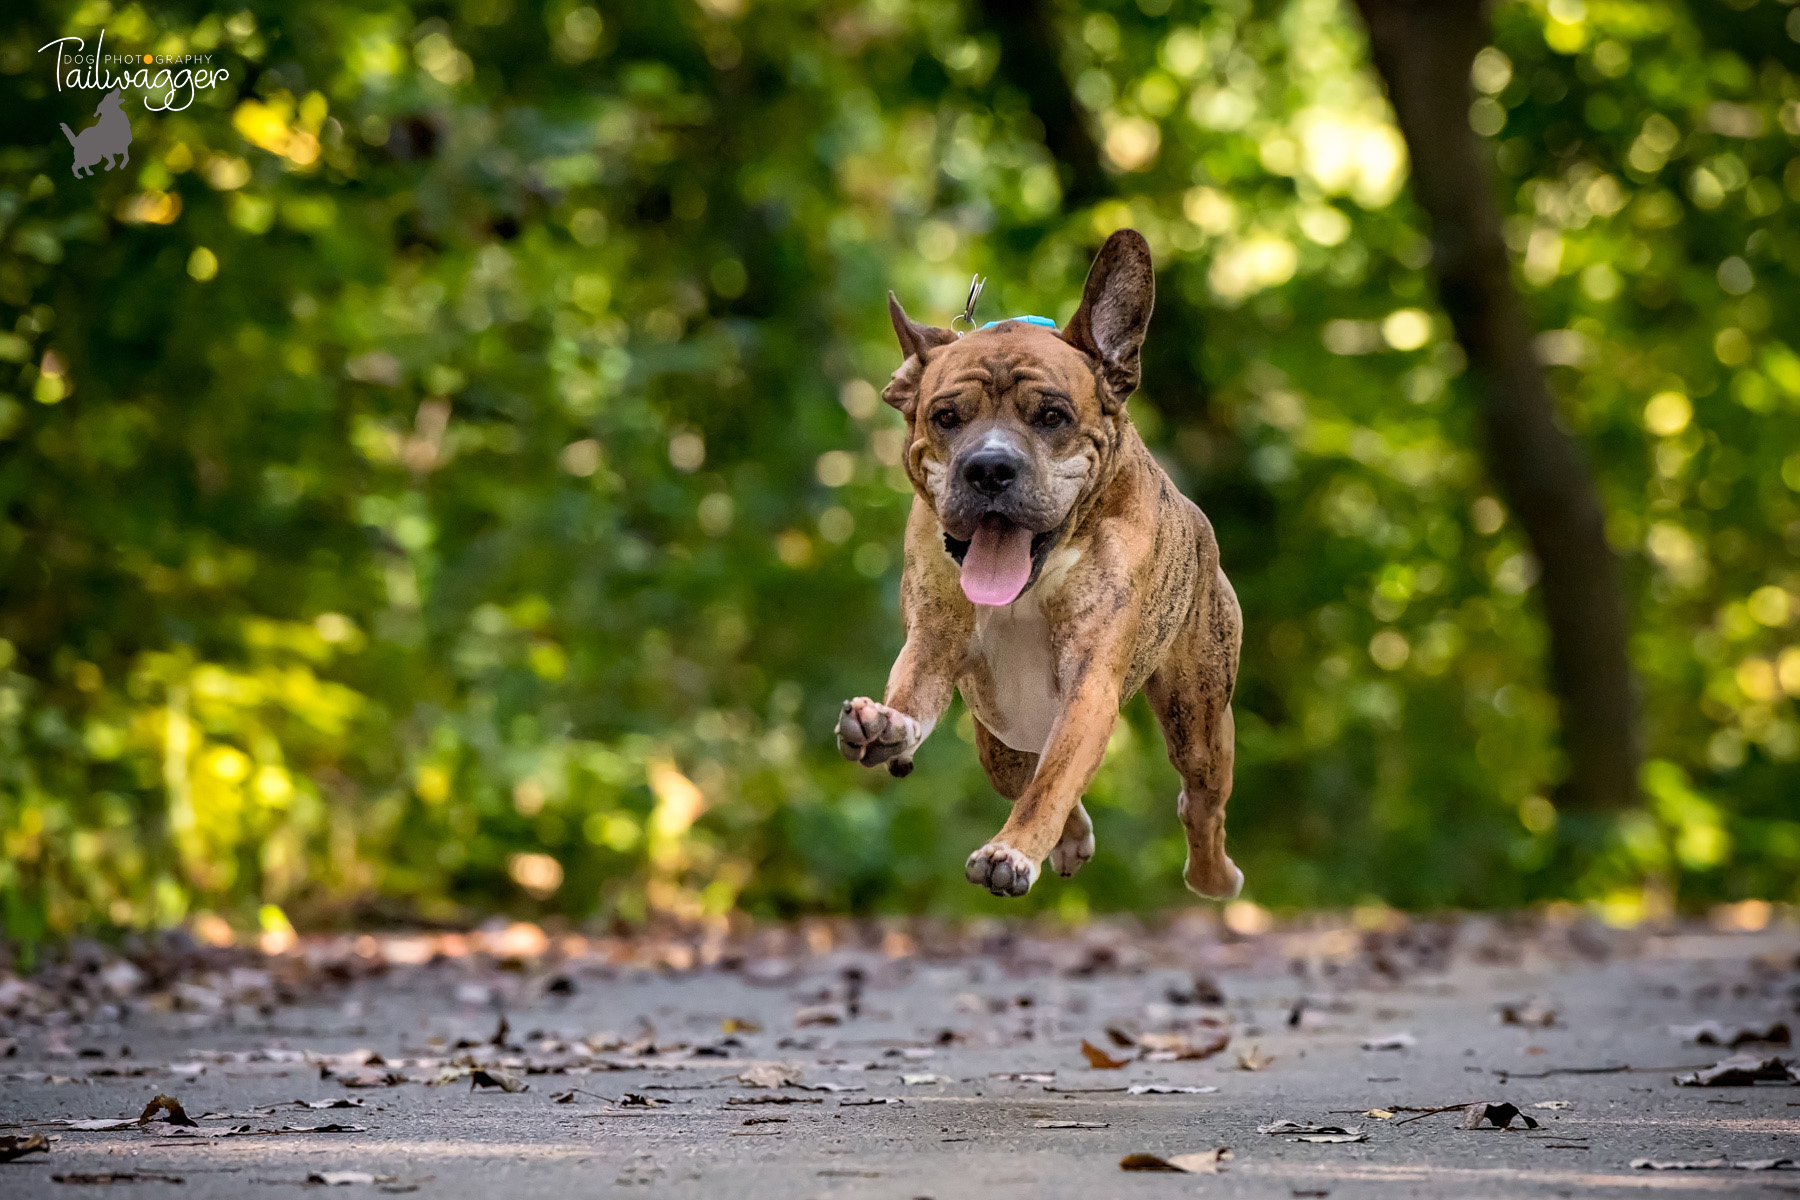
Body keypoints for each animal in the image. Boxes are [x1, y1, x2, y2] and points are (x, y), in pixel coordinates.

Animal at [835, 230, 1245, 895]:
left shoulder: (1089, 689)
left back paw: (1213, 876)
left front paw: (1012, 850)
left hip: (1199, 719)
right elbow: (914, 690)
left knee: (1199, 800)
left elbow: (1052, 784)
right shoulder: (935, 640)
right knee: (1021, 771)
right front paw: (888, 724)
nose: (989, 467)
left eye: (1051, 416)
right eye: (946, 417)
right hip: (999, 738)